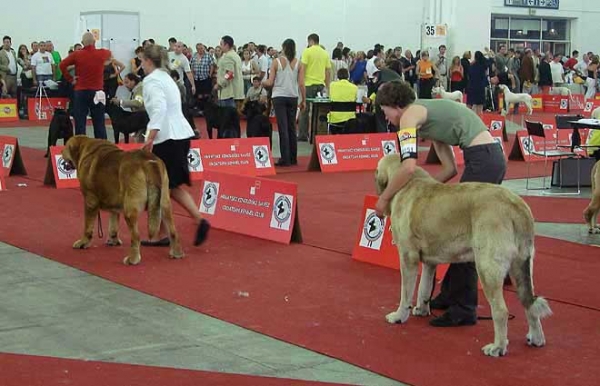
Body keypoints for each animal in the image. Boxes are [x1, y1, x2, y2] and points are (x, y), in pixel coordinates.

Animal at [61, 136, 184, 266]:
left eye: (66, 146)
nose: (61, 151)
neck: (84, 149)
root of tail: (149, 162)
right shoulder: (114, 204)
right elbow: (114, 222)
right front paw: (113, 240)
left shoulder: (90, 201)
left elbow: (88, 226)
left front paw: (83, 242)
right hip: (165, 203)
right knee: (173, 230)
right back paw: (176, 253)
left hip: (130, 208)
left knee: (136, 236)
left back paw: (132, 259)